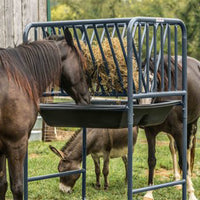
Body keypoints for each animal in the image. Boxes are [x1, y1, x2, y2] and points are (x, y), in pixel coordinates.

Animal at [143, 55, 199, 200]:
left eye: (153, 82)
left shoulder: (179, 131)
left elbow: (184, 160)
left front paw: (191, 193)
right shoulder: (150, 132)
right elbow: (151, 160)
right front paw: (149, 192)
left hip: (192, 124)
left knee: (187, 150)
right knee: (173, 148)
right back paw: (177, 180)